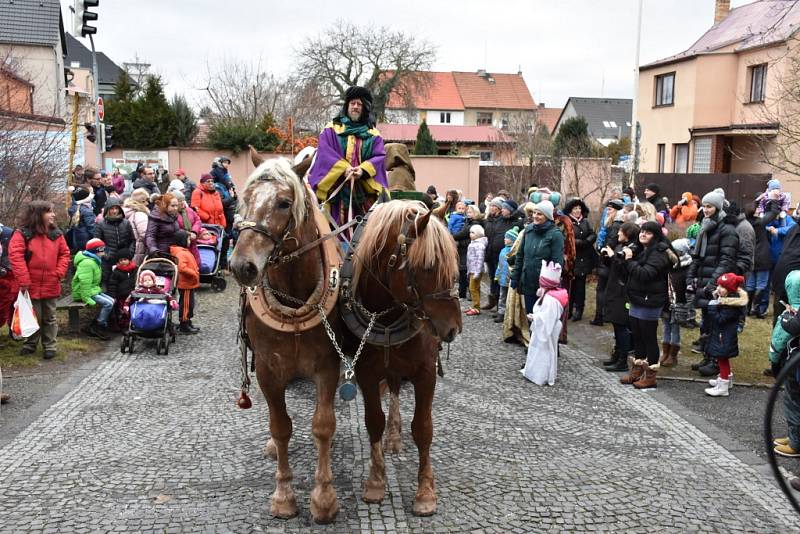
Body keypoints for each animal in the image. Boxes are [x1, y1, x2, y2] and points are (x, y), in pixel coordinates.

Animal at [231, 157, 344, 524]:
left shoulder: (327, 366)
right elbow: (280, 426)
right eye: (243, 200)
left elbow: (323, 425)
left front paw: (323, 498)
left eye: (283, 203)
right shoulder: (269, 370)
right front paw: (283, 496)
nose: (242, 266)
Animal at [342, 199, 462, 516]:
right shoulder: (366, 372)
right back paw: (392, 437)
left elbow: (423, 428)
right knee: (394, 387)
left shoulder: (426, 372)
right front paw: (375, 481)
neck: (388, 315)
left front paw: (425, 492)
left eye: (454, 266)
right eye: (428, 266)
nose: (453, 328)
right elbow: (373, 421)